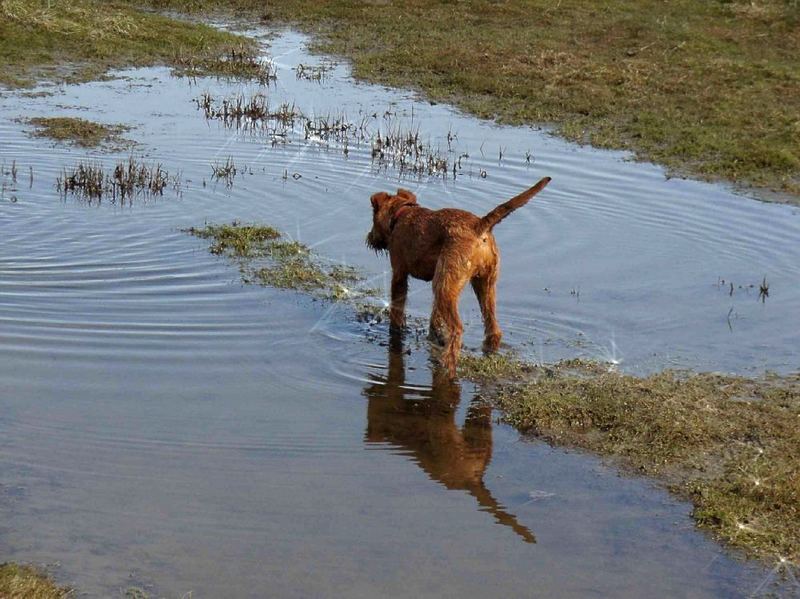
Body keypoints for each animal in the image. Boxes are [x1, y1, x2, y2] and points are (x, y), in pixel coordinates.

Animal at [368, 176, 552, 378]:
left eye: (373, 217)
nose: (369, 238)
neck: (400, 215)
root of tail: (479, 227)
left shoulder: (400, 273)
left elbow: (397, 308)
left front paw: (396, 330)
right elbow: (435, 316)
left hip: (446, 286)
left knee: (457, 329)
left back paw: (447, 364)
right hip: (482, 283)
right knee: (493, 328)